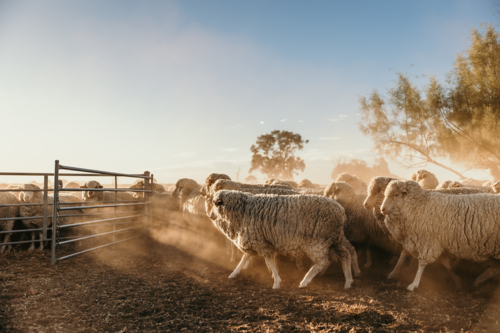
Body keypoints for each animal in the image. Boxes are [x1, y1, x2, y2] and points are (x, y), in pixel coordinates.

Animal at [208, 189, 356, 288]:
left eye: (216, 204)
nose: (210, 216)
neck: (242, 211)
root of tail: (340, 210)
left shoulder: (261, 242)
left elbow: (268, 261)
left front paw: (276, 281)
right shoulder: (256, 240)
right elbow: (246, 257)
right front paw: (234, 273)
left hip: (318, 242)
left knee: (323, 262)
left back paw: (305, 281)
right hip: (335, 238)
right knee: (346, 254)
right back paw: (348, 280)